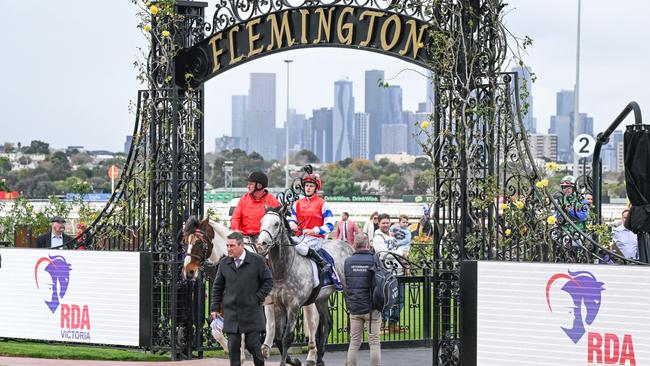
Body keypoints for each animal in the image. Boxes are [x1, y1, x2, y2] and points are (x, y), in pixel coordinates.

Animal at [256, 207, 352, 364]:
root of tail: (348, 245)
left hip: (347, 292)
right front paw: (294, 360)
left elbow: (287, 338)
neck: (285, 270)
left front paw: (286, 362)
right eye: (261, 221)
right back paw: (319, 358)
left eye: (276, 224)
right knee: (328, 321)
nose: (261, 244)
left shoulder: (294, 306)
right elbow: (278, 337)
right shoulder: (278, 305)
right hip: (321, 299)